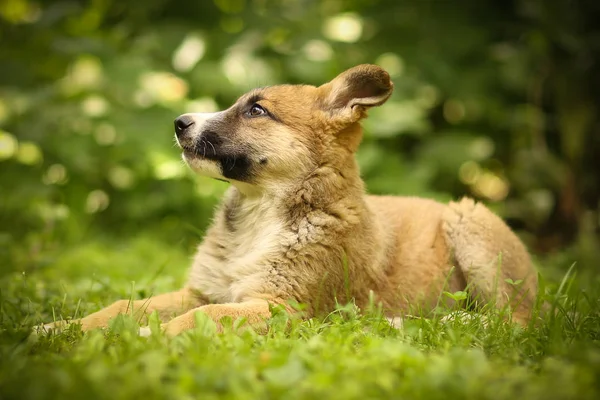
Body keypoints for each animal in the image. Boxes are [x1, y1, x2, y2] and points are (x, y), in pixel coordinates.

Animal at [38, 65, 540, 338]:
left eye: (257, 110)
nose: (179, 122)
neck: (261, 212)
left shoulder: (280, 306)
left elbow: (201, 317)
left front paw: (146, 337)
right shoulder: (199, 289)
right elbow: (120, 307)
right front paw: (57, 330)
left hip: (472, 225)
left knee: (509, 320)